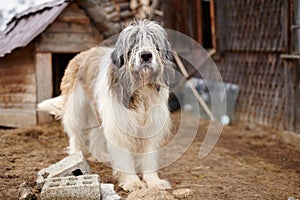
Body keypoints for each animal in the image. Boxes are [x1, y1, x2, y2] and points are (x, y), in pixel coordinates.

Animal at [38, 19, 173, 191]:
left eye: (154, 41)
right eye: (134, 43)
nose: (146, 55)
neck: (140, 89)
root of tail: (81, 54)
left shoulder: (151, 126)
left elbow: (148, 158)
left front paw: (154, 182)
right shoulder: (118, 127)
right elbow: (124, 157)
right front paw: (132, 182)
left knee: (95, 135)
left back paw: (100, 156)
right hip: (76, 110)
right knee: (75, 135)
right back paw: (75, 156)